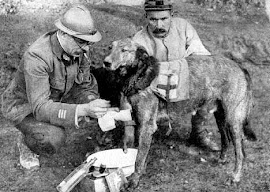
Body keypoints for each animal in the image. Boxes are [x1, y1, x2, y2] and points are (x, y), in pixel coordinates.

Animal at [102, 37, 256, 189]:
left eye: (124, 50)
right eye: (110, 47)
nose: (106, 62)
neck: (137, 75)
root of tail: (241, 67)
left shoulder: (147, 127)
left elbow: (138, 159)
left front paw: (134, 181)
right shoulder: (133, 123)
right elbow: (133, 151)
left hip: (234, 121)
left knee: (241, 153)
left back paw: (235, 177)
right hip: (221, 117)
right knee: (226, 140)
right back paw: (222, 160)